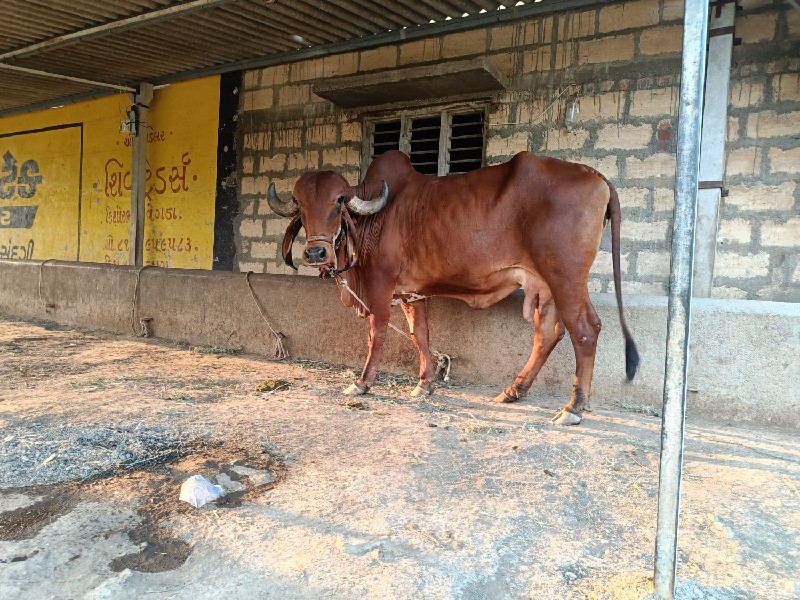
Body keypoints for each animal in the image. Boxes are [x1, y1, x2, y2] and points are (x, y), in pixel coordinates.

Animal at [268, 148, 636, 424]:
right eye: (300, 204)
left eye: (339, 201)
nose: (315, 253)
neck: (374, 216)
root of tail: (595, 174)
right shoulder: (411, 293)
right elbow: (420, 335)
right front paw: (425, 384)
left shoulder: (380, 285)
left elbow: (377, 333)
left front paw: (362, 383)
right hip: (545, 286)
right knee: (548, 333)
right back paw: (513, 391)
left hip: (566, 277)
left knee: (584, 330)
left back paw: (573, 408)